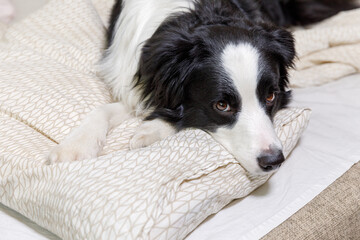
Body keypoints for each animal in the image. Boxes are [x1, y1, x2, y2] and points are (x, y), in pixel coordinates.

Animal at [47, 0, 358, 175]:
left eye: (271, 96)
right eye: (222, 105)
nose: (273, 161)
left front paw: (150, 130)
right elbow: (104, 109)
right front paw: (73, 148)